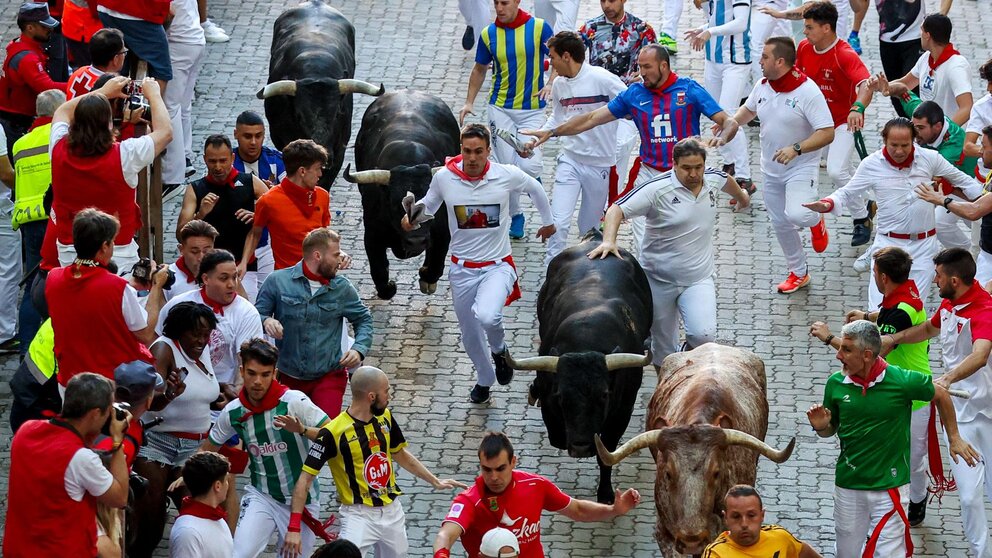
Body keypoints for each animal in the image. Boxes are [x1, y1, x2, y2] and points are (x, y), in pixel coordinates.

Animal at [342, 91, 460, 302]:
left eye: (431, 204)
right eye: (397, 204)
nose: (417, 241)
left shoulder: (442, 230)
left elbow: (437, 261)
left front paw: (426, 278)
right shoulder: (371, 235)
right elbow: (379, 270)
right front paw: (388, 287)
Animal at [512, 232, 652, 508]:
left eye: (604, 395)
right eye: (561, 396)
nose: (580, 447)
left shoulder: (622, 410)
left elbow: (606, 452)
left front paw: (606, 493)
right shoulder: (550, 401)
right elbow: (556, 433)